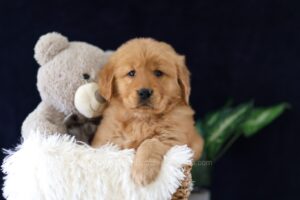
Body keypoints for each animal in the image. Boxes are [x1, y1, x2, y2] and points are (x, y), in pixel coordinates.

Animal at [92, 38, 204, 186]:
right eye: (131, 73)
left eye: (158, 73)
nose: (144, 92)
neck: (142, 119)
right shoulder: (105, 139)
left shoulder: (177, 140)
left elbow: (151, 142)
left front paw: (143, 171)